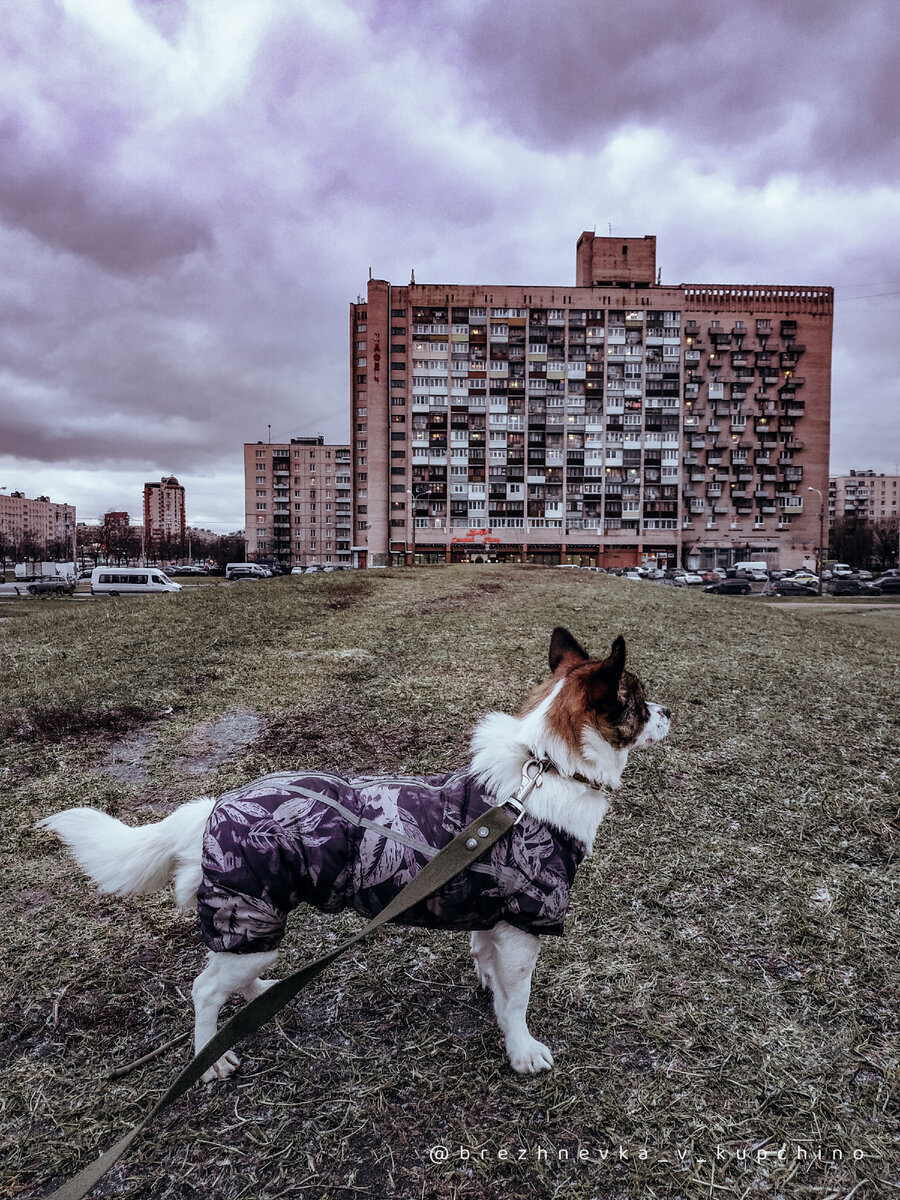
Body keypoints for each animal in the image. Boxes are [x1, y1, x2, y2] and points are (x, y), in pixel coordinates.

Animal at [37, 628, 672, 1080]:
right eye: (639, 703)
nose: (671, 711)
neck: (542, 774)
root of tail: (213, 807)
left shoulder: (493, 912)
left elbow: (485, 959)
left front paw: (487, 991)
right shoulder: (526, 921)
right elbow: (518, 1000)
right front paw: (521, 1050)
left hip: (254, 931)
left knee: (233, 977)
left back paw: (260, 998)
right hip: (249, 920)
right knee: (203, 990)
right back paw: (211, 1056)